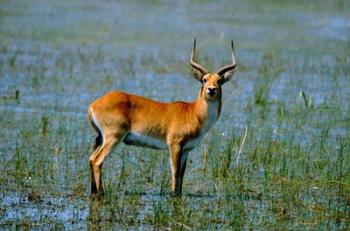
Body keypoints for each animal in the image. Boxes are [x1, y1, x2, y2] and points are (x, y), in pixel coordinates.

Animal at [87, 39, 237, 195]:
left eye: (219, 81)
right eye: (204, 79)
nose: (211, 90)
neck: (194, 113)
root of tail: (94, 105)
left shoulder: (186, 150)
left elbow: (181, 175)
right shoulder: (174, 145)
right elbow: (175, 173)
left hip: (101, 138)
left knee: (91, 159)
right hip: (113, 137)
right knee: (97, 161)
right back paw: (101, 193)